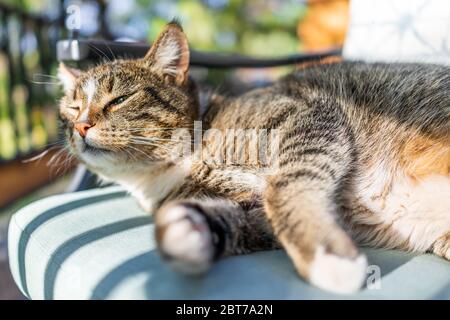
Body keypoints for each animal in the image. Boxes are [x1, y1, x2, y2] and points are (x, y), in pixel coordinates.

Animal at [58, 21, 448, 294]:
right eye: (71, 108)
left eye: (119, 100)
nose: (80, 125)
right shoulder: (250, 212)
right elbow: (230, 219)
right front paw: (183, 230)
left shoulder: (306, 117)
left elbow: (284, 188)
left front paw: (324, 255)